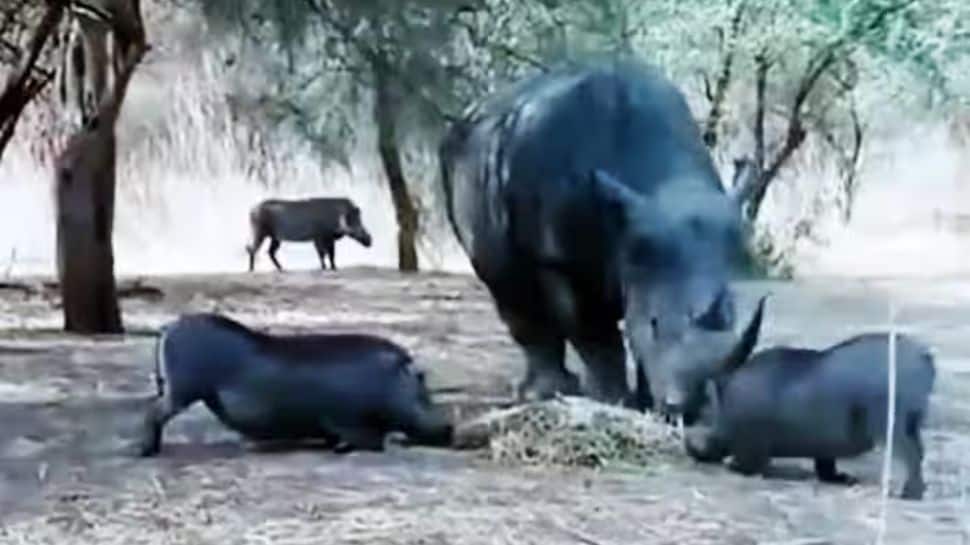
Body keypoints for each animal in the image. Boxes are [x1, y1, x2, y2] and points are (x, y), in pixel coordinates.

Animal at [438, 59, 756, 415]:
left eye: (730, 319)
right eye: (655, 324)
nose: (688, 408)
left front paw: (646, 403)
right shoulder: (561, 259)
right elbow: (594, 330)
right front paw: (614, 400)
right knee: (507, 284)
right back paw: (546, 393)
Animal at [683, 297, 936, 500]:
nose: (697, 449)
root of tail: (924, 357)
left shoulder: (751, 451)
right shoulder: (824, 447)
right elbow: (825, 467)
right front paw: (840, 478)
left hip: (891, 424)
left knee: (911, 455)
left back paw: (909, 493)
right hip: (911, 424)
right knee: (919, 453)